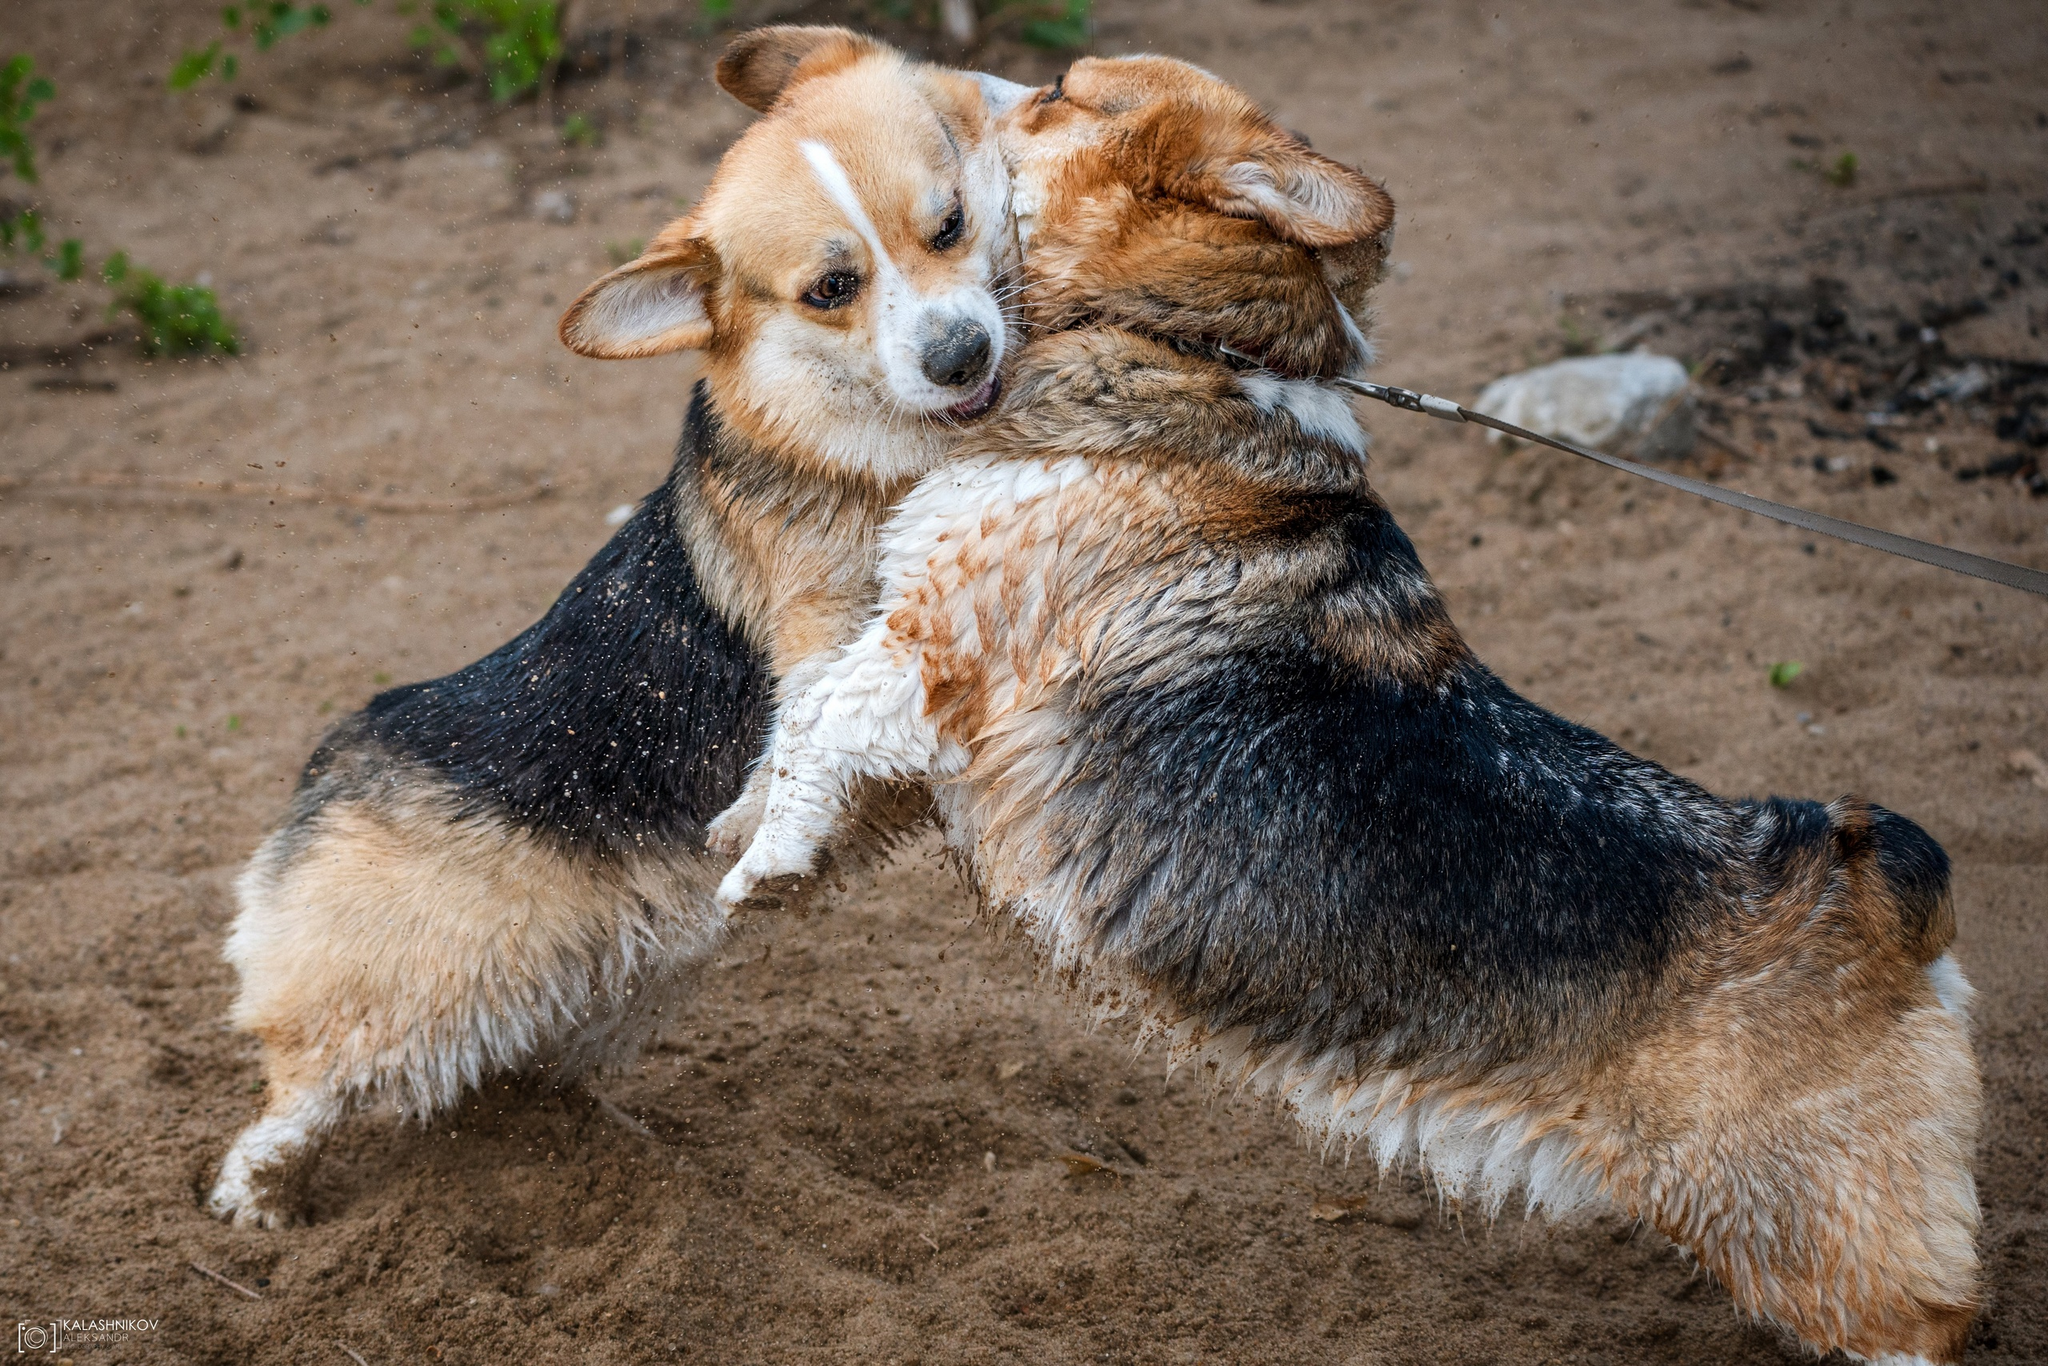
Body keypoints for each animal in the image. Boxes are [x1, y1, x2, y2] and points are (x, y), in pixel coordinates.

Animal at [207, 26, 1024, 1236]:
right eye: (832, 288)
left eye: (951, 225)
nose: (961, 356)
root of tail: (340, 752)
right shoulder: (821, 635)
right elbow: (816, 721)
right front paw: (767, 811)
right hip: (406, 1000)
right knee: (301, 1090)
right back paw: (256, 1201)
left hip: (597, 995)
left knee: (513, 1085)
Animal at [716, 56, 1982, 1366]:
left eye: (1063, 88)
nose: (940, 89)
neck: (1186, 340)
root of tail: (1868, 883)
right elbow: (803, 727)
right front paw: (759, 836)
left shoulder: (938, 642)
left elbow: (821, 719)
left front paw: (757, 863)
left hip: (1820, 1254)